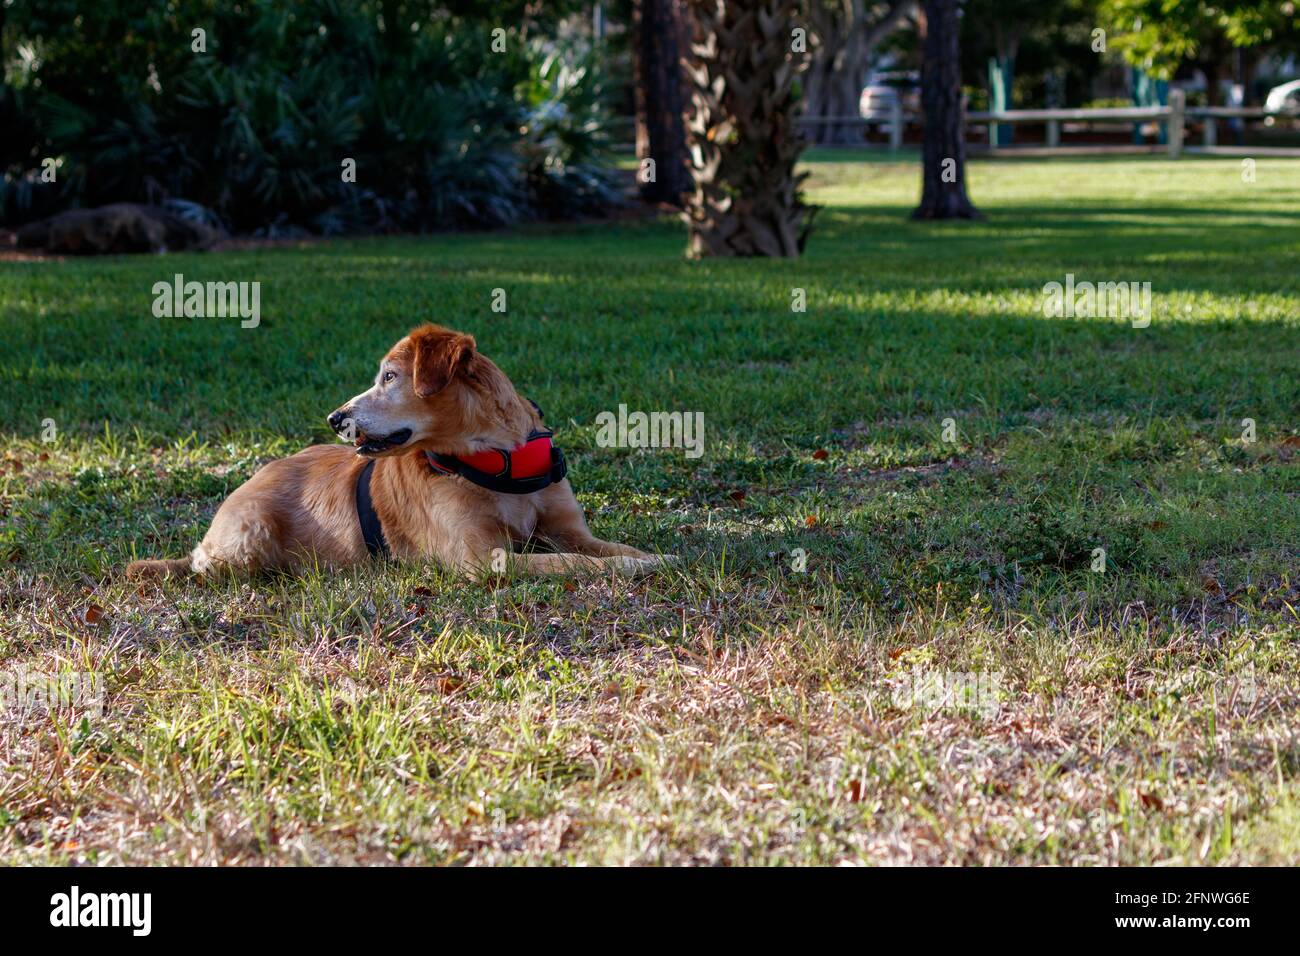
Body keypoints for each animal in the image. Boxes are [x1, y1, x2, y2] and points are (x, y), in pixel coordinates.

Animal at [126, 325, 665, 580]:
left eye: (389, 377)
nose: (335, 417)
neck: (494, 461)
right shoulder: (483, 559)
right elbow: (573, 564)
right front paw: (631, 569)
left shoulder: (569, 530)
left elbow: (606, 548)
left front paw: (648, 556)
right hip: (245, 537)